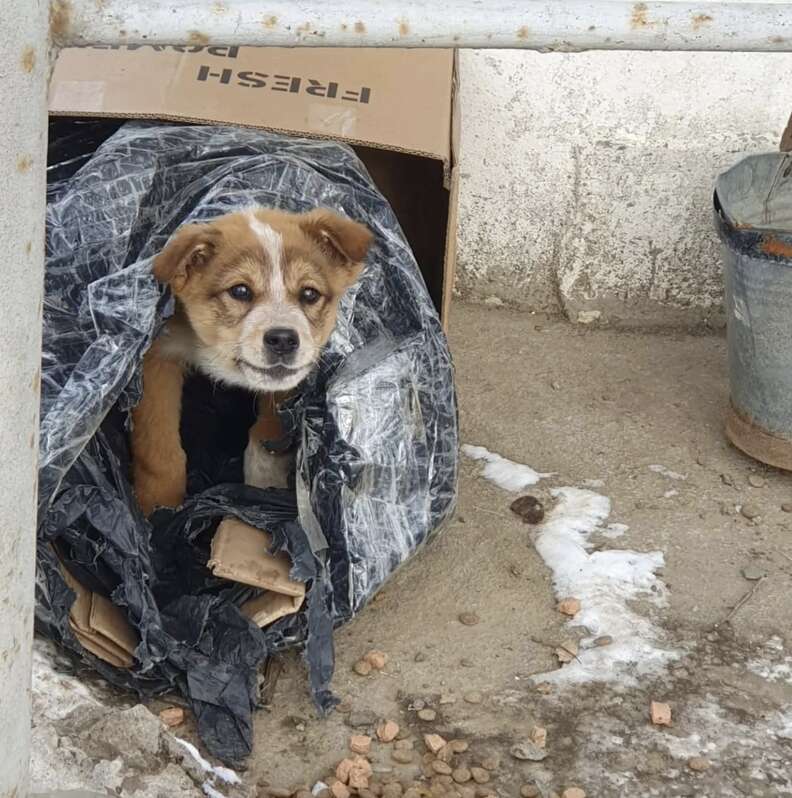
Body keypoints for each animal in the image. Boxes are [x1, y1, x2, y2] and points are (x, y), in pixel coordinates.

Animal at [131, 208, 372, 520]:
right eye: (240, 291)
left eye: (309, 294)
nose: (283, 340)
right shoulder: (157, 357)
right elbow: (159, 451)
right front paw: (158, 509)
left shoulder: (284, 386)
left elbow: (267, 437)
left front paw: (261, 490)